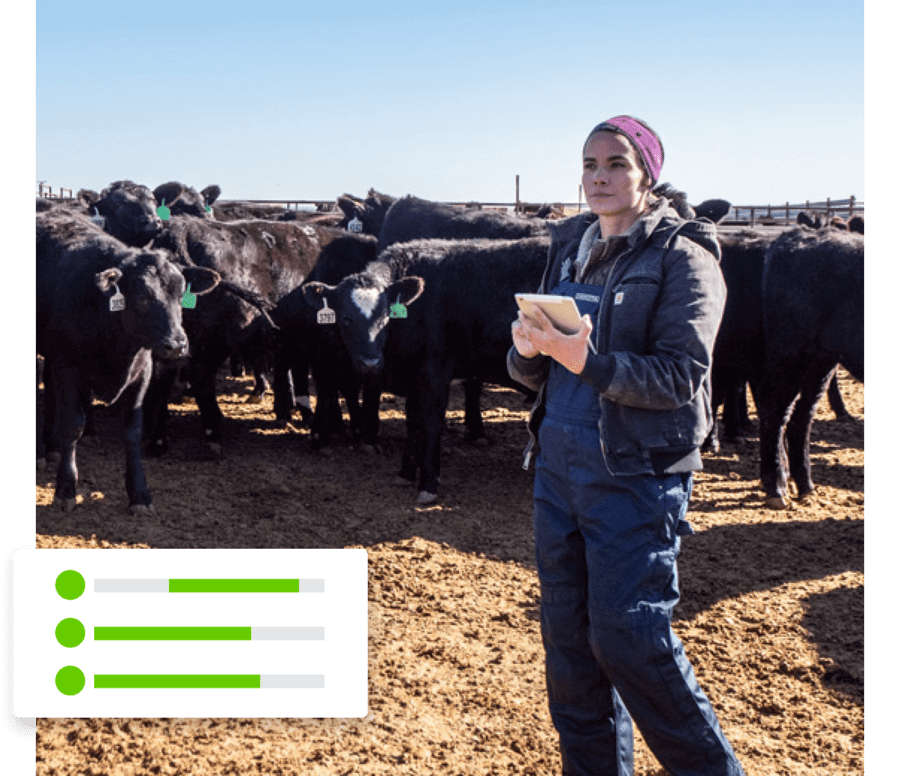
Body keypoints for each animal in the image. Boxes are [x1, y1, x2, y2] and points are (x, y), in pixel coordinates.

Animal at [36, 208, 220, 510]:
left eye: (181, 294)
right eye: (143, 296)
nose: (177, 344)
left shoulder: (142, 372)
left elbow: (132, 431)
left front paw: (139, 493)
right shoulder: (67, 366)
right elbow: (72, 424)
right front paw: (66, 488)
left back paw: (50, 447)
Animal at [304, 236, 548, 504]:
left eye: (386, 317)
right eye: (346, 319)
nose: (370, 363)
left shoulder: (435, 374)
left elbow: (430, 424)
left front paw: (428, 484)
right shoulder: (414, 378)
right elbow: (413, 422)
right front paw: (406, 473)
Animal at [760, 227, 864, 506]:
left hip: (821, 362)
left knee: (801, 418)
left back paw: (805, 485)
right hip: (792, 356)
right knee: (776, 414)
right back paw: (776, 488)